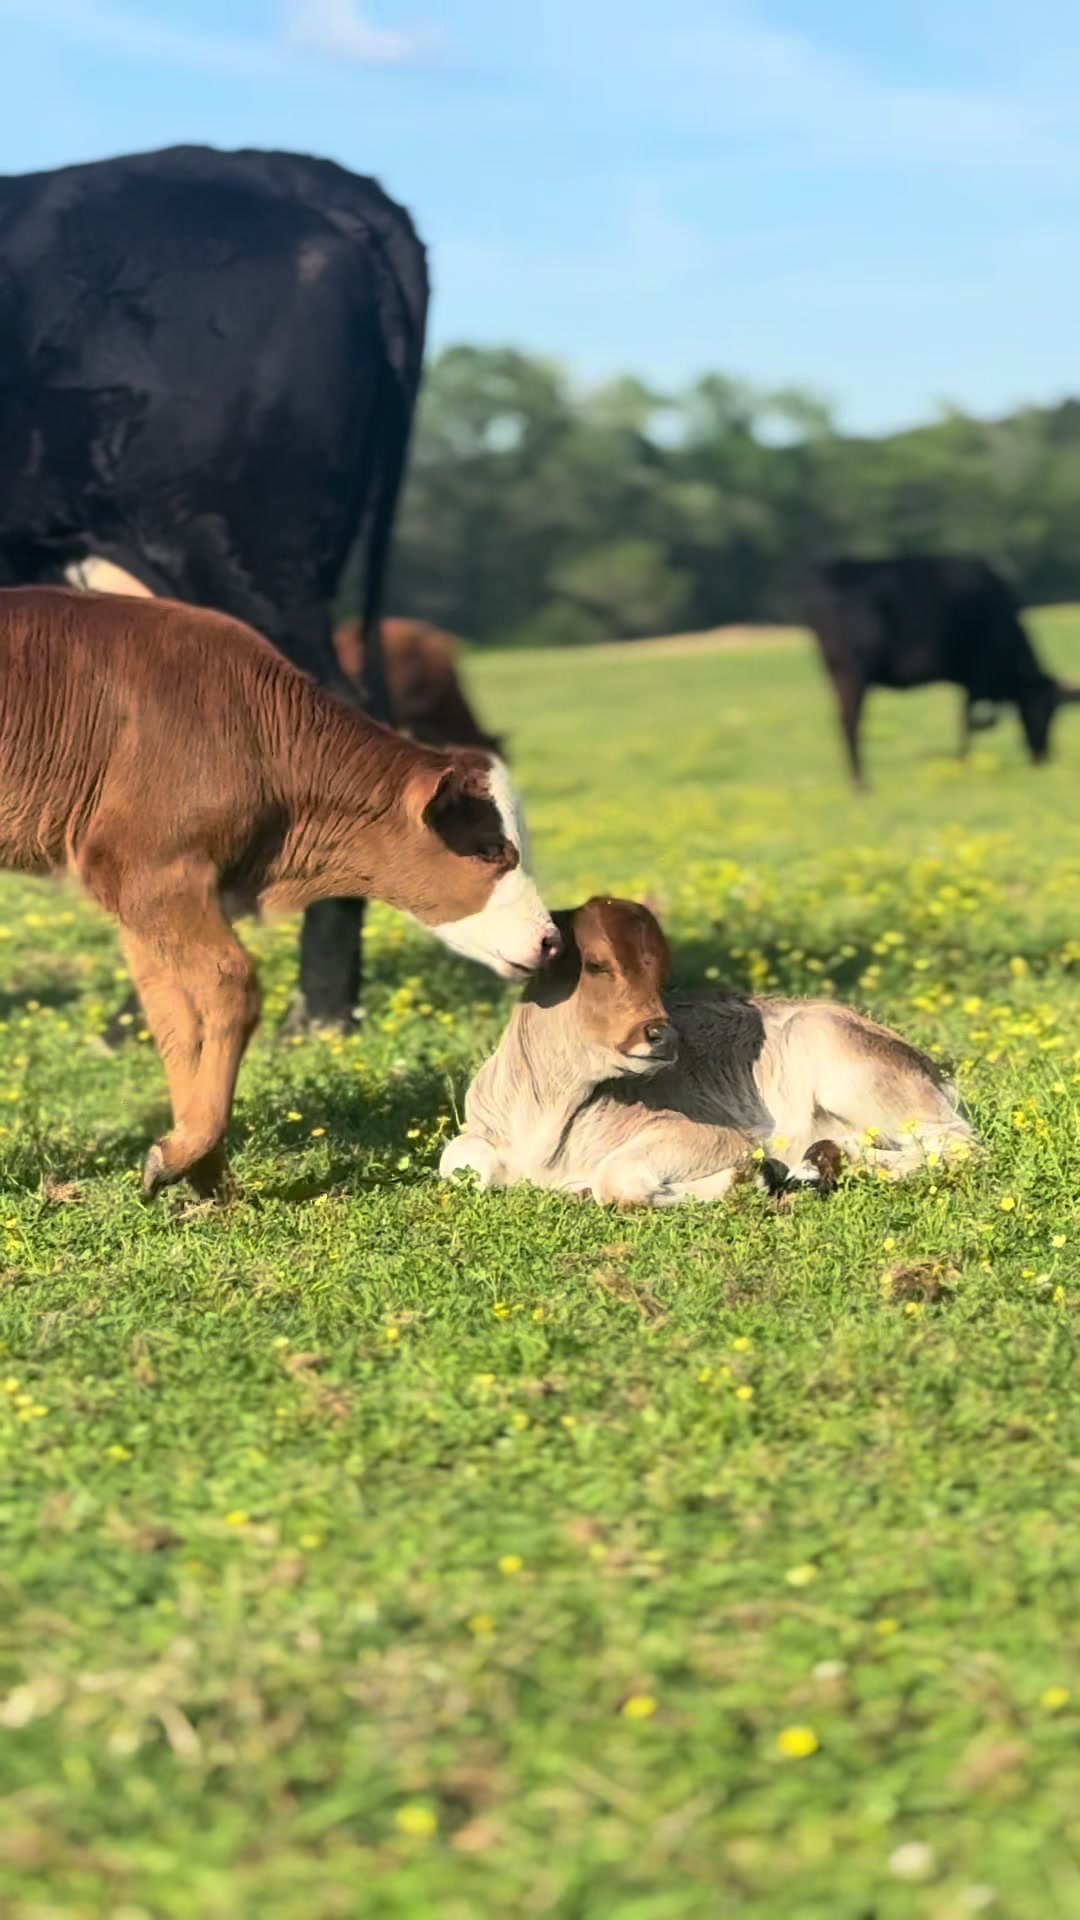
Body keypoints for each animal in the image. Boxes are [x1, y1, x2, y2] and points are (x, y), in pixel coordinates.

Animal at [0, 588, 560, 1198]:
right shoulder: (155, 872)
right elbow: (229, 982)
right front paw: (187, 1156)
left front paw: (205, 1175)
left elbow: (175, 1013)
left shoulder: (142, 888)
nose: (551, 940)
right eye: (489, 849)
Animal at [805, 556, 1080, 787]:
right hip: (853, 670)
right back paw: (861, 783)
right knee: (851, 720)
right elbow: (970, 722)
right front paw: (963, 763)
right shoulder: (978, 676)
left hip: (838, 672)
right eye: (1045, 710)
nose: (1043, 756)